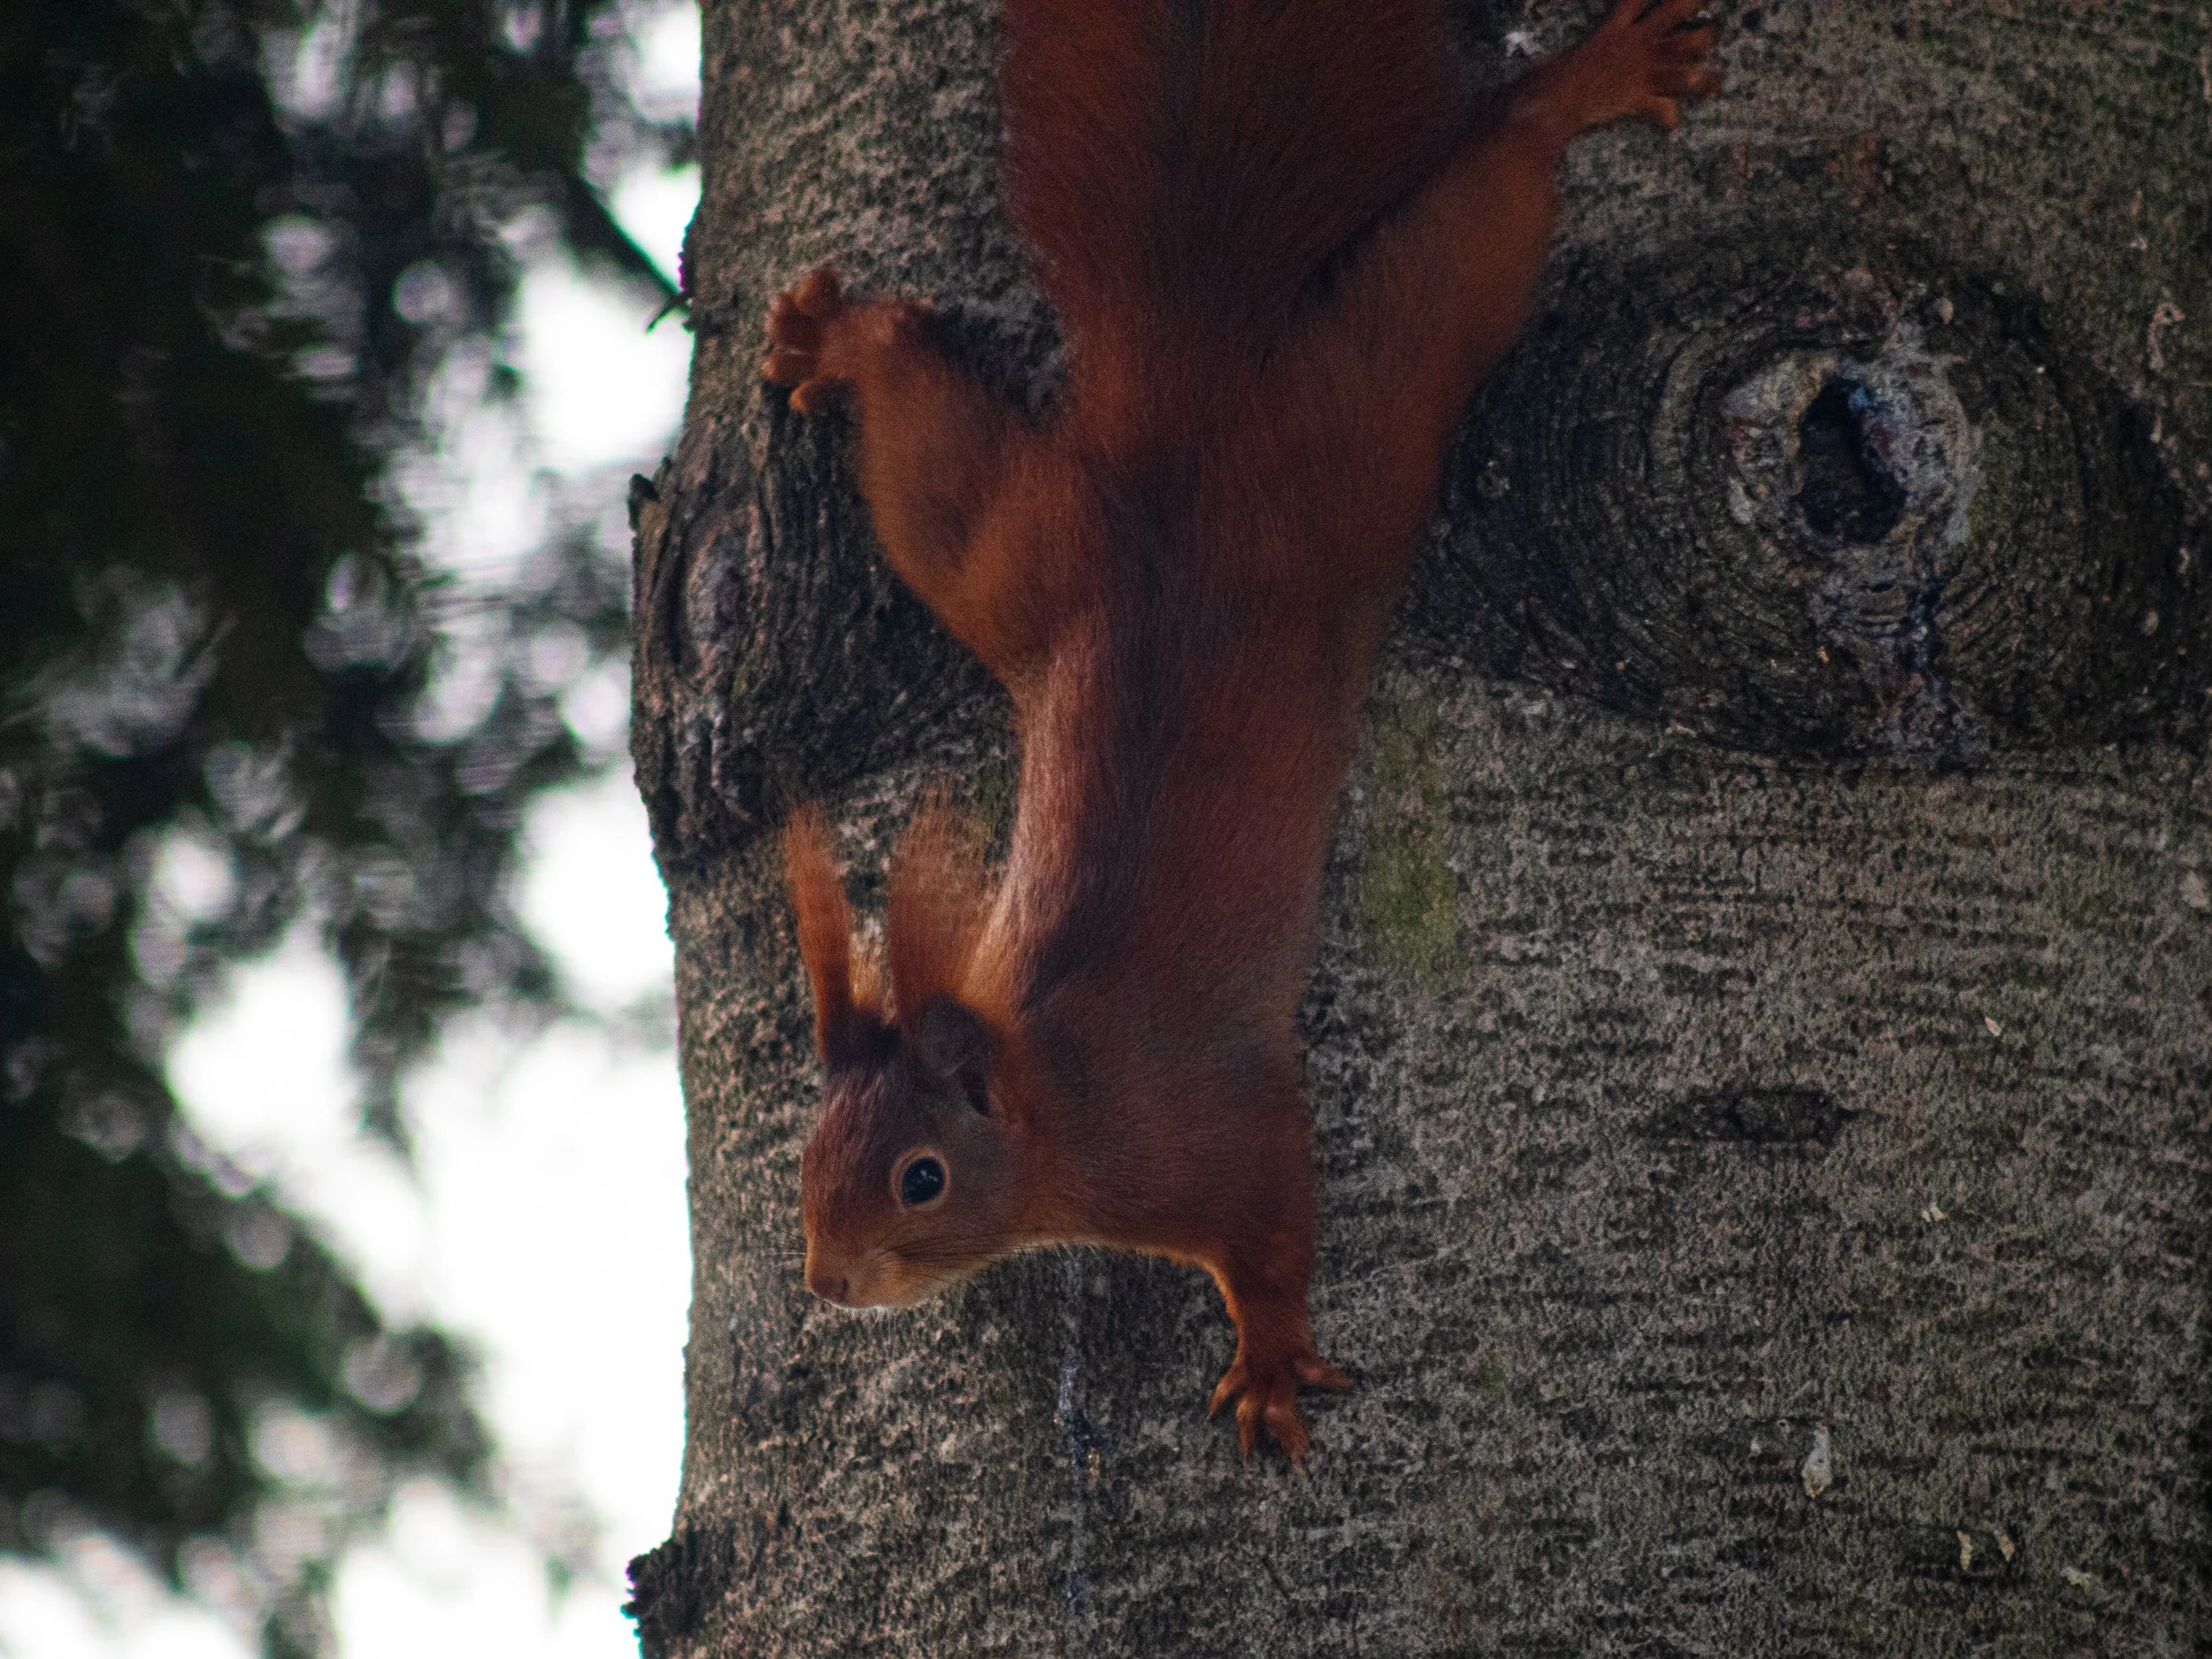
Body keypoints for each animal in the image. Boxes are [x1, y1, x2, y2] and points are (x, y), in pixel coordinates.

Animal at [761, 0, 1722, 1464]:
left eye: (919, 1176)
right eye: (811, 1162)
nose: (825, 1278)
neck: (1058, 1092)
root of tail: (1184, 404)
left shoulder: (1214, 1129)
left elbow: (1272, 1228)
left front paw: (1268, 1360)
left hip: (1360, 420)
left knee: (1478, 210)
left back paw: (1590, 80)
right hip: (1002, 545)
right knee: (921, 406)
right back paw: (835, 340)